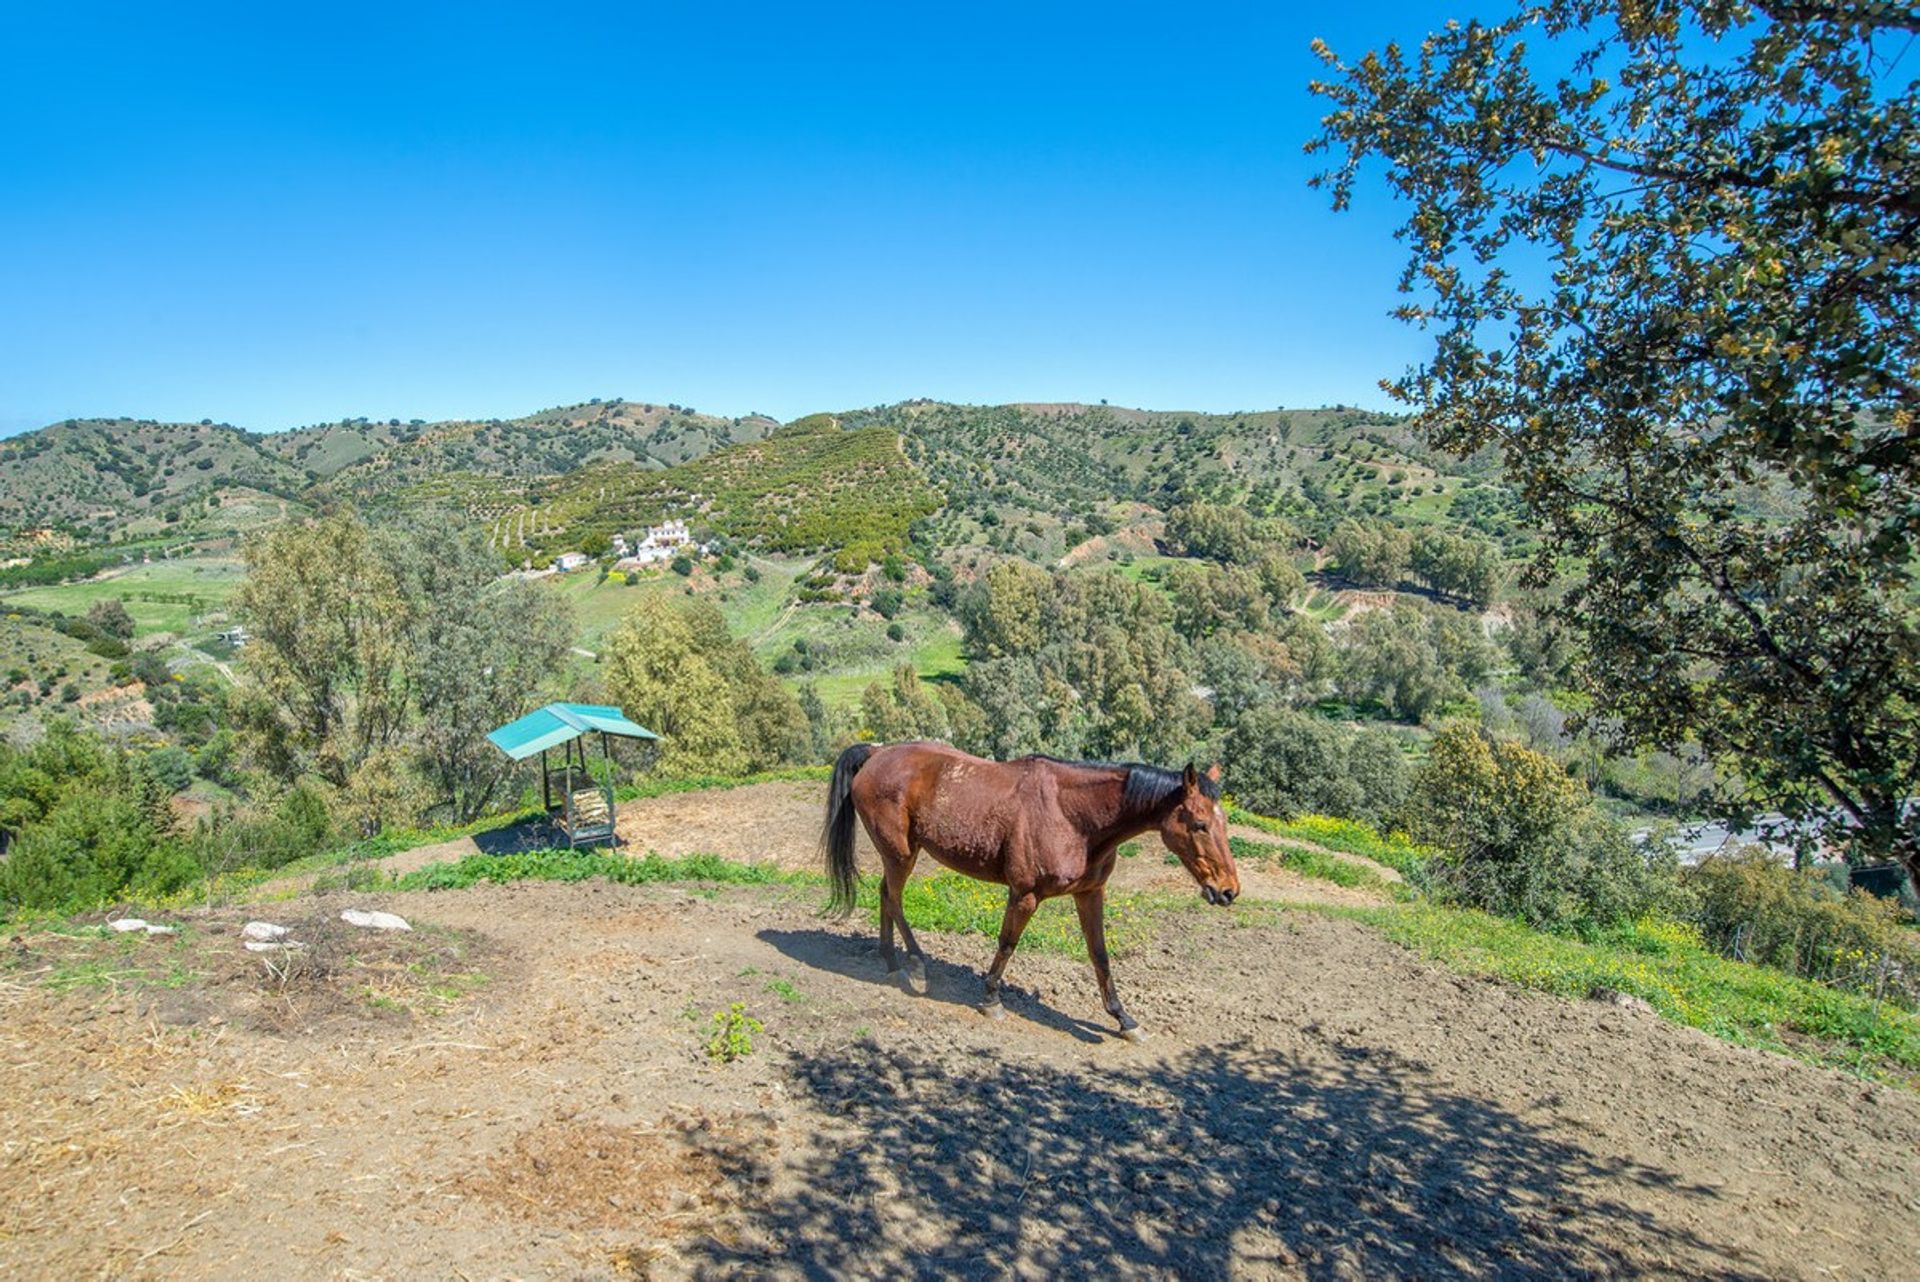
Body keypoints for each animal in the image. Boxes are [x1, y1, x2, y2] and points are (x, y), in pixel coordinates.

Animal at [814, 740, 1236, 1044]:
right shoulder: (1024, 894)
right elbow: (1006, 944)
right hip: (900, 853)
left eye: (1224, 821)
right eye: (1199, 824)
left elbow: (1100, 956)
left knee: (886, 895)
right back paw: (913, 963)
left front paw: (1124, 1019)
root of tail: (877, 753)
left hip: (901, 854)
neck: (1073, 816)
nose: (1228, 890)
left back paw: (891, 960)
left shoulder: (1090, 894)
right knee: (894, 898)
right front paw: (990, 999)